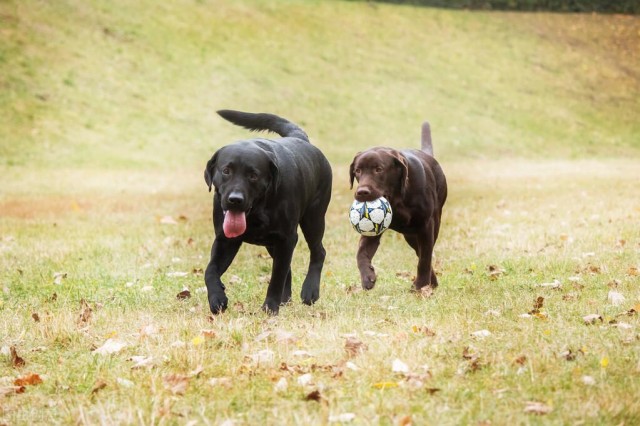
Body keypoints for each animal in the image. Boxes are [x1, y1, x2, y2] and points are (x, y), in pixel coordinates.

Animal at [204, 110, 336, 312]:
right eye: (226, 170)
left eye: (253, 175)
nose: (235, 199)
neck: (257, 212)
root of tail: (300, 138)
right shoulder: (225, 240)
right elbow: (210, 270)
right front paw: (217, 298)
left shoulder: (287, 238)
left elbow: (276, 277)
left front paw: (270, 307)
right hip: (272, 243)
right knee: (289, 268)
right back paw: (286, 300)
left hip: (313, 219)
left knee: (318, 252)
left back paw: (310, 291)